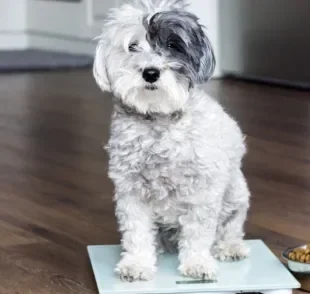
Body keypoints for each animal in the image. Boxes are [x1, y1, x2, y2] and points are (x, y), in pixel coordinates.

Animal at [93, 0, 251, 282]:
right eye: (132, 46)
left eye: (172, 45)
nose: (150, 72)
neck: (159, 119)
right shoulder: (131, 191)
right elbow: (136, 231)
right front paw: (137, 263)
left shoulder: (203, 191)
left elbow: (199, 233)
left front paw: (197, 263)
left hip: (236, 195)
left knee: (230, 227)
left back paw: (230, 247)